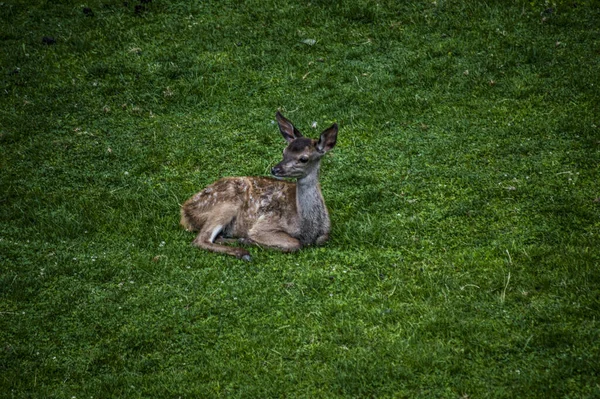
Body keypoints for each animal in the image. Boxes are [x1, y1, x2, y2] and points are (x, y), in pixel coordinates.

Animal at [178, 111, 338, 262]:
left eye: (304, 158)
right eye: (284, 152)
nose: (275, 169)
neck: (307, 228)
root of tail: (185, 210)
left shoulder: (325, 233)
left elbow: (322, 239)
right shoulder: (264, 224)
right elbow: (294, 243)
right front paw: (249, 240)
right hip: (225, 203)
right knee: (201, 239)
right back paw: (243, 252)